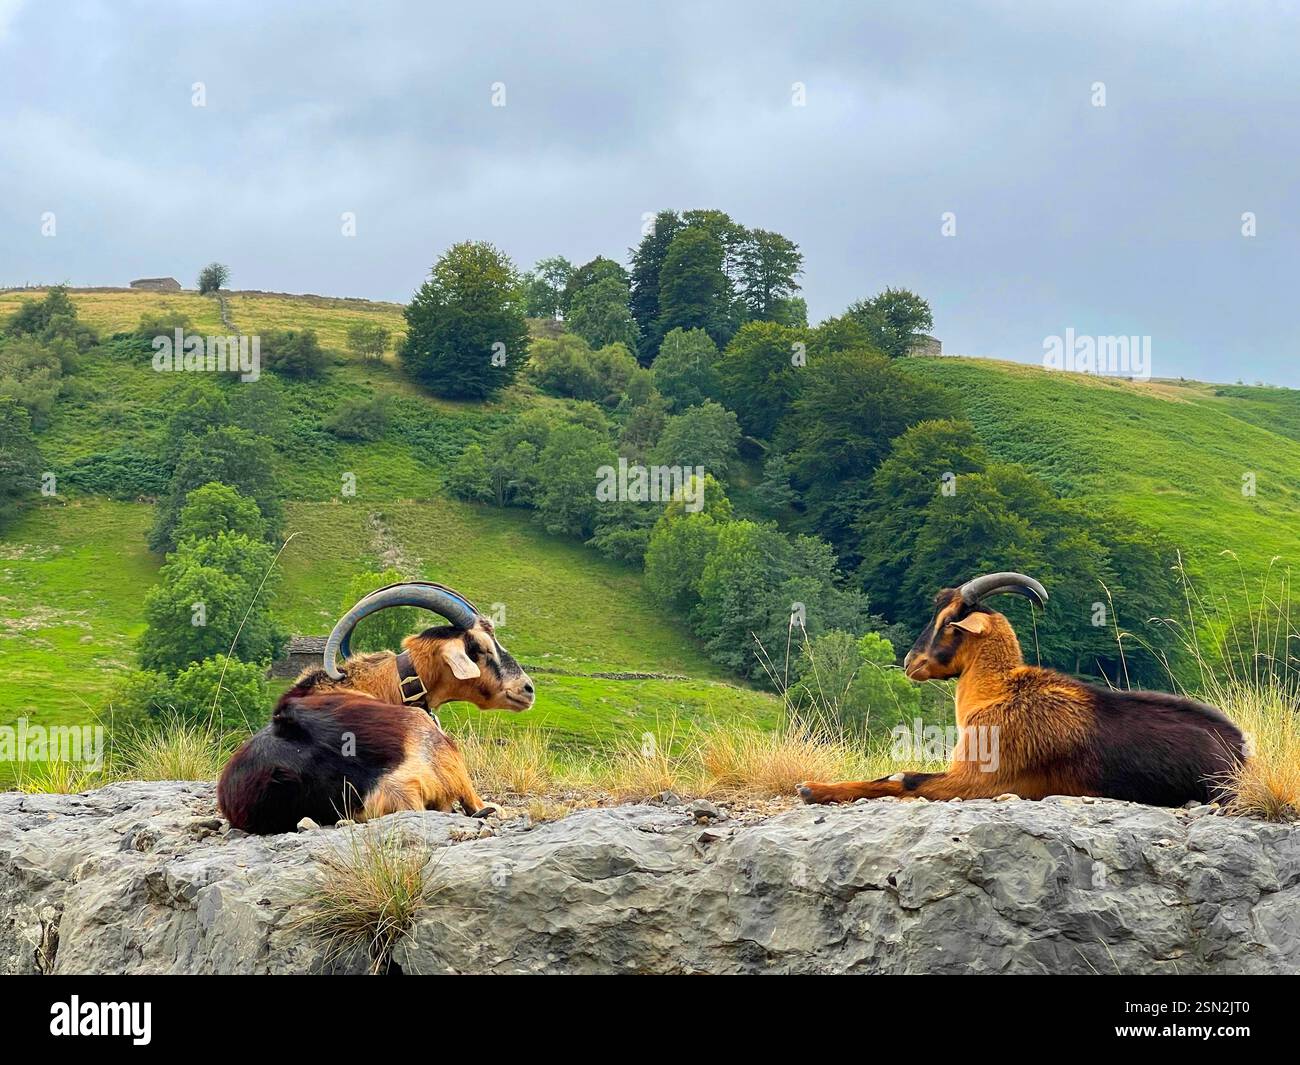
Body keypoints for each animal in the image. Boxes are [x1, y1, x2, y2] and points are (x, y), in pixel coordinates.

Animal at [797, 572, 1246, 807]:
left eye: (949, 623)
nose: (911, 662)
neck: (1001, 694)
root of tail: (1243, 750)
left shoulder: (980, 781)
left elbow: (905, 779)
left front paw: (811, 788)